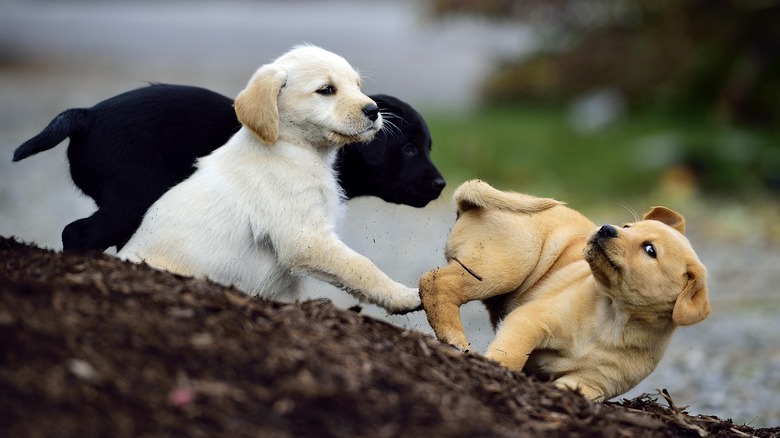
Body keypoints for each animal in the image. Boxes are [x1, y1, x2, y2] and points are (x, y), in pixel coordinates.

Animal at [117, 45, 420, 314]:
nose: (373, 110)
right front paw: (404, 296)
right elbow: (360, 266)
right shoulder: (306, 239)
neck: (291, 146)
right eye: (326, 90)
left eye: (357, 85)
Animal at [424, 180, 708, 402]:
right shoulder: (530, 321)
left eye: (650, 250)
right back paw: (454, 339)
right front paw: (495, 371)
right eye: (628, 226)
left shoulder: (591, 383)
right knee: (436, 283)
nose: (607, 228)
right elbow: (510, 354)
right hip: (504, 264)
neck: (612, 320)